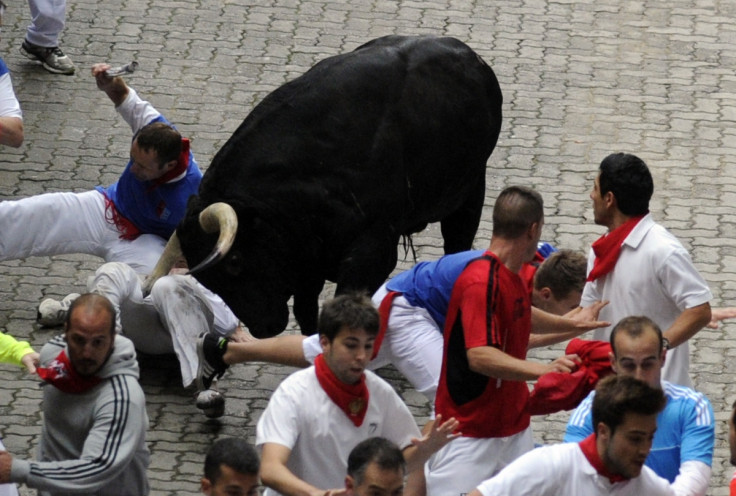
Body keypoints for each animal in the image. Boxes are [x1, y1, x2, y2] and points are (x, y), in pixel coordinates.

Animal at [159, 34, 504, 338]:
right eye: (209, 281)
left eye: (234, 262)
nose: (264, 328)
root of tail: (473, 59)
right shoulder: (306, 257)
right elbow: (307, 311)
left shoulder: (372, 248)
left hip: (471, 189)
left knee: (457, 243)